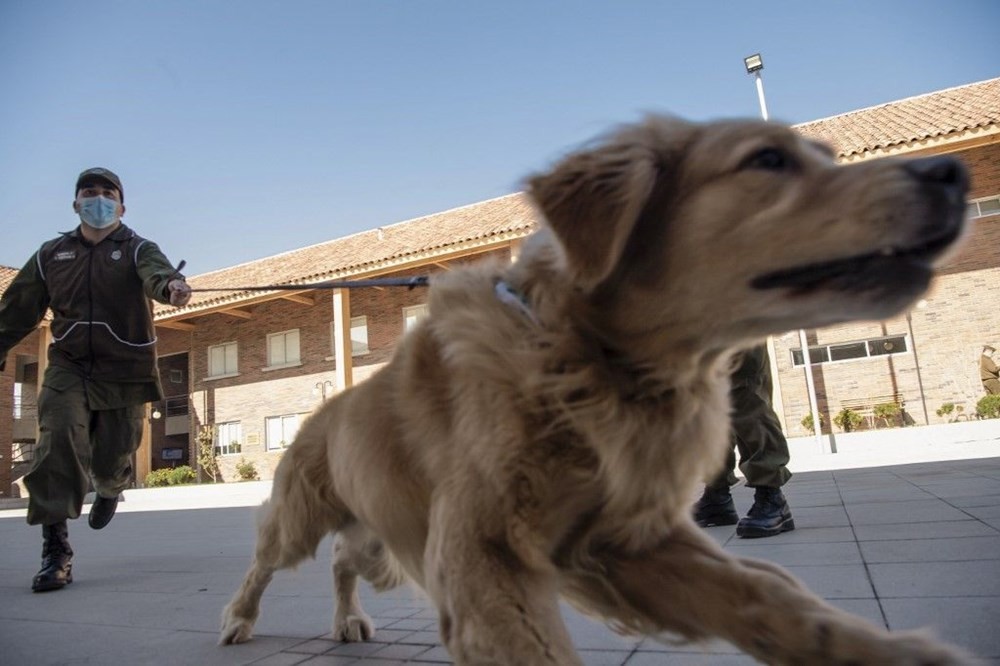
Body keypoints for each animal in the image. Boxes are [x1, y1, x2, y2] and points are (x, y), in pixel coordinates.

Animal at [217, 116, 968, 660]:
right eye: (767, 160)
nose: (953, 172)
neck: (585, 364)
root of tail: (326, 408)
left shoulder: (622, 541)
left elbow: (771, 599)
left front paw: (886, 651)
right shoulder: (481, 555)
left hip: (376, 531)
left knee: (346, 561)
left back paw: (348, 619)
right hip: (300, 516)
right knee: (265, 561)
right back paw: (238, 617)